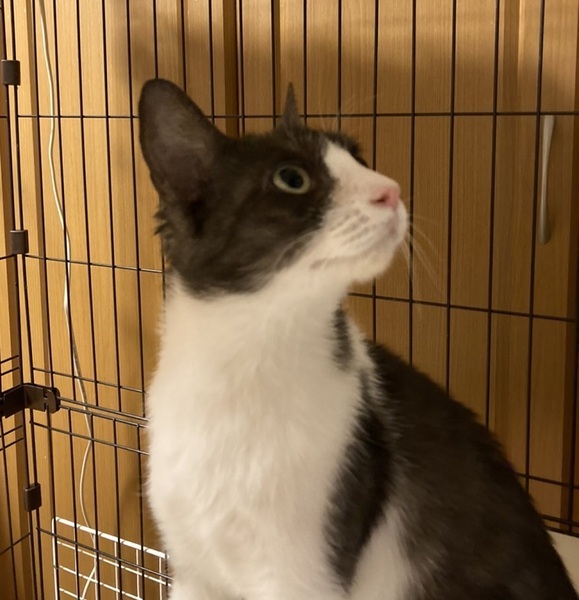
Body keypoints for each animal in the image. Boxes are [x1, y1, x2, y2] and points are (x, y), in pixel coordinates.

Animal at [138, 79, 577, 600]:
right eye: (291, 178)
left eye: (358, 156)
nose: (392, 190)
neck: (244, 367)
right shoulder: (193, 570)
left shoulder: (305, 570)